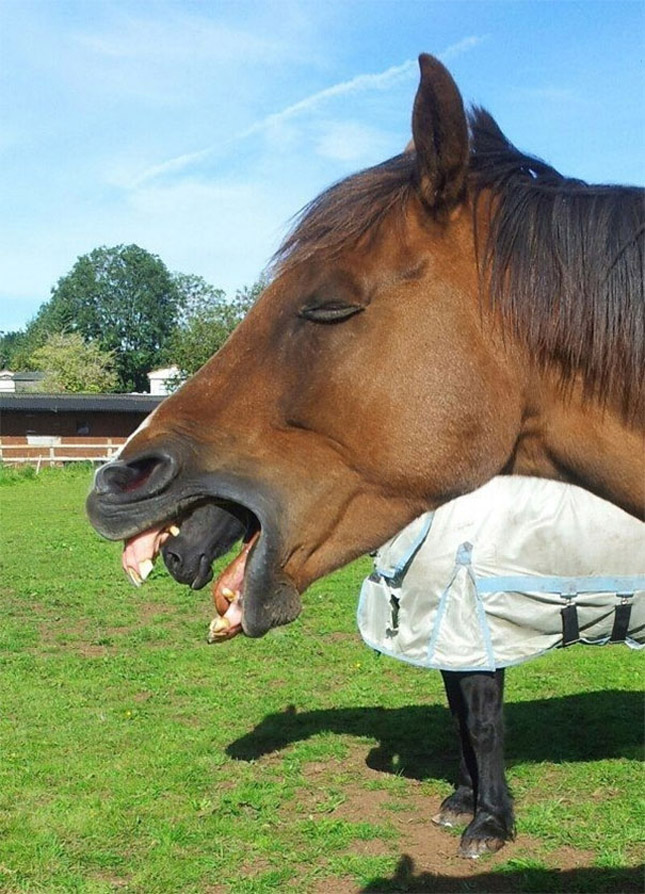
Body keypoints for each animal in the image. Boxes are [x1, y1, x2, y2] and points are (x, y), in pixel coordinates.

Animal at [87, 52, 644, 856]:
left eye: (330, 305)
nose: (118, 481)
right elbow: (459, 719)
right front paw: (463, 801)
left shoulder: (472, 638)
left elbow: (479, 722)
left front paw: (487, 822)